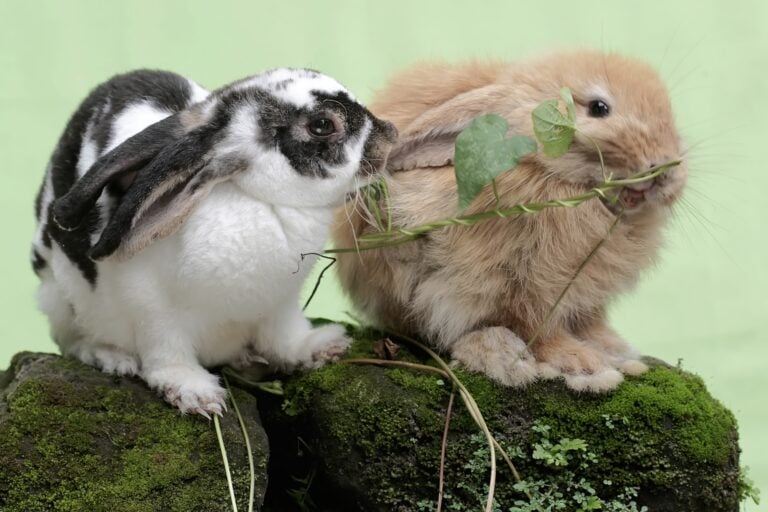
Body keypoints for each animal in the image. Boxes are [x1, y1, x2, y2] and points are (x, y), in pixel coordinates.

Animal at [32, 68, 397, 416]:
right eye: (322, 125)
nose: (390, 133)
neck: (257, 197)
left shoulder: (281, 305)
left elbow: (285, 340)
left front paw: (323, 346)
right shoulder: (154, 313)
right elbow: (168, 356)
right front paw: (196, 395)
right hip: (59, 297)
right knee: (68, 340)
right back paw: (110, 357)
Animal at [333, 51, 687, 392]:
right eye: (599, 108)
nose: (666, 169)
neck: (550, 176)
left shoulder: (585, 296)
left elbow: (589, 322)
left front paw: (614, 352)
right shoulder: (524, 288)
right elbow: (538, 328)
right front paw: (581, 365)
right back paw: (502, 356)